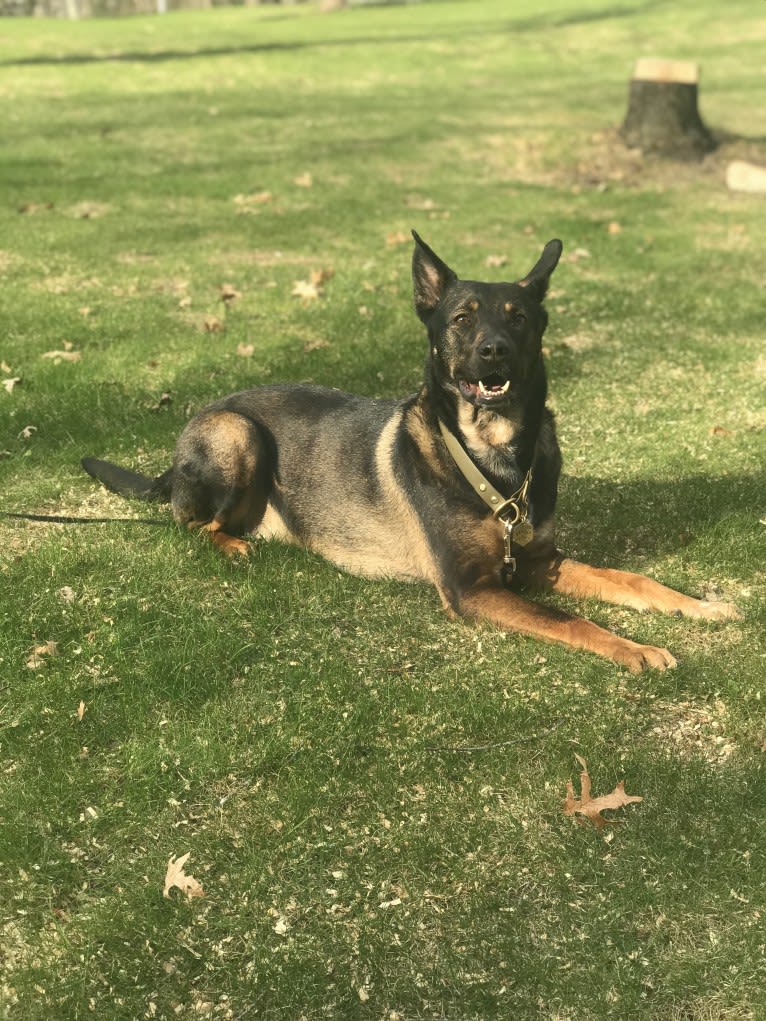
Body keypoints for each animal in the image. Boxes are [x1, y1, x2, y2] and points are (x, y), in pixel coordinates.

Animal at [81, 234, 739, 673]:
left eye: (519, 317)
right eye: (462, 318)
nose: (494, 352)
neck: (492, 457)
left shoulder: (538, 562)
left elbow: (630, 578)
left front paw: (698, 606)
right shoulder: (472, 590)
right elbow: (572, 620)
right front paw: (635, 648)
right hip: (237, 434)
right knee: (192, 523)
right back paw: (231, 545)